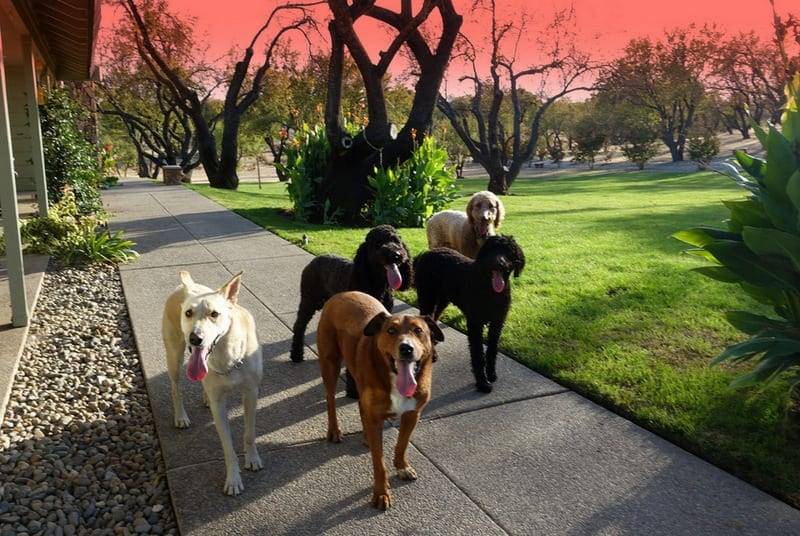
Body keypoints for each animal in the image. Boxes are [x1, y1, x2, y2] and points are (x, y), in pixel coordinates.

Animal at [161, 270, 264, 496]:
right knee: (175, 388)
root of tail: (185, 286)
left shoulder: (251, 393)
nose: (195, 338)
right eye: (188, 313)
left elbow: (250, 432)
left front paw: (252, 458)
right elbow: (227, 446)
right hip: (174, 354)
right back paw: (180, 416)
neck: (227, 355)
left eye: (214, 314)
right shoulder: (219, 405)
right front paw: (233, 479)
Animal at [290, 224, 412, 396]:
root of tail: (316, 258)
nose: (396, 255)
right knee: (299, 326)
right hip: (309, 301)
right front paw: (354, 390)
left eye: (396, 241)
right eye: (378, 244)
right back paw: (296, 354)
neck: (376, 285)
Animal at [318, 292, 444, 508]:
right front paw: (381, 493)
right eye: (391, 330)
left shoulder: (412, 414)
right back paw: (335, 431)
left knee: (361, 405)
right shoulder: (377, 419)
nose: (406, 348)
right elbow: (379, 463)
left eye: (418, 330)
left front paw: (402, 467)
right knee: (330, 399)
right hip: (329, 363)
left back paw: (366, 437)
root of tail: (341, 294)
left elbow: (402, 444)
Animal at [412, 237, 524, 392]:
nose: (498, 263)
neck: (489, 288)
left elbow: (492, 350)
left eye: (509, 251)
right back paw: (432, 353)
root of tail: (424, 254)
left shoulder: (497, 322)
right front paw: (482, 382)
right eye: (491, 249)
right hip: (427, 297)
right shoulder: (475, 324)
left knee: (432, 318)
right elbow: (477, 354)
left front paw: (491, 374)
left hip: (442, 299)